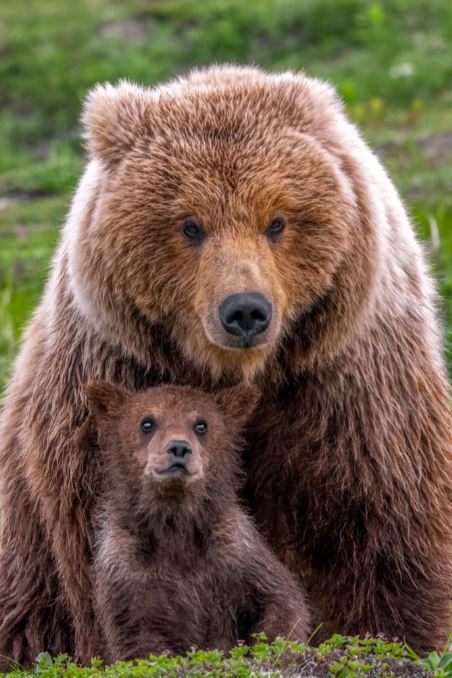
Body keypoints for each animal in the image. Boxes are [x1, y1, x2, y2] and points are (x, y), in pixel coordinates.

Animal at [0, 66, 450, 668]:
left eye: (277, 220)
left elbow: (381, 515)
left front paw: (390, 635)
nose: (245, 311)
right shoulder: (114, 373)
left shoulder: (346, 378)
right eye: (190, 225)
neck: (239, 373)